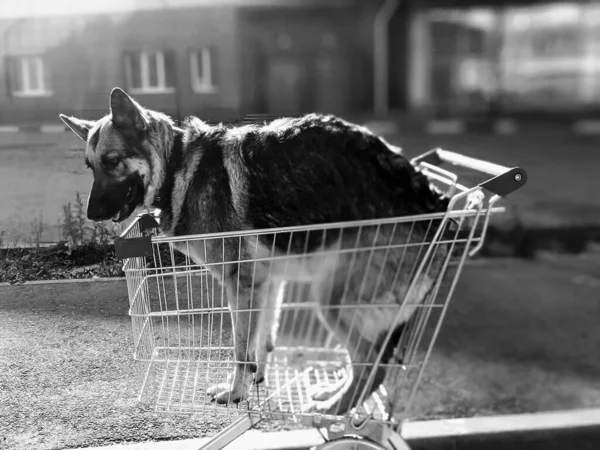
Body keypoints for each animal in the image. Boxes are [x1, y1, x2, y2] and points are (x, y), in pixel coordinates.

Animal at [59, 89, 450, 418]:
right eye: (91, 166)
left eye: (112, 161)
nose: (91, 214)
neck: (177, 165)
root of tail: (436, 202)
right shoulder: (266, 282)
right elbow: (262, 342)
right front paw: (257, 378)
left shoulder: (240, 284)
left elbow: (240, 349)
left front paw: (236, 393)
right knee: (373, 358)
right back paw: (334, 394)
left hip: (332, 299)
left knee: (374, 361)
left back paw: (335, 408)